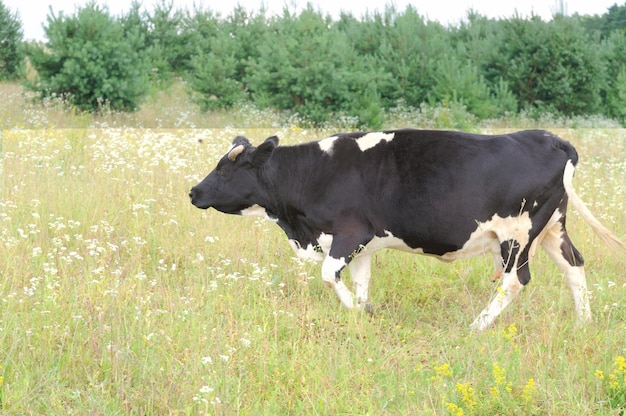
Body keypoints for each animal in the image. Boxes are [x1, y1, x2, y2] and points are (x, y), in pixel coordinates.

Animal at [189, 128, 624, 330]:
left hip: (517, 234)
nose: (193, 192)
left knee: (515, 281)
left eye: (225, 170)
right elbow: (361, 282)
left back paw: (476, 326)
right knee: (574, 265)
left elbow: (329, 275)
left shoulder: (349, 233)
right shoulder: (363, 244)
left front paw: (354, 311)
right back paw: (583, 322)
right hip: (552, 227)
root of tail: (548, 138)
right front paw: (364, 313)